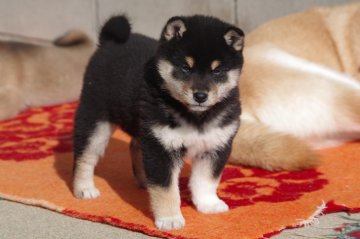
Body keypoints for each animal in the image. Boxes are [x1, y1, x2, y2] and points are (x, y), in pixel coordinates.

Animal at [72, 14, 245, 230]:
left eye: (217, 71)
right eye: (185, 68)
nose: (200, 96)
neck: (195, 117)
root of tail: (108, 42)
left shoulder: (215, 146)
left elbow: (206, 180)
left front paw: (208, 204)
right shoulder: (161, 148)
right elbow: (166, 189)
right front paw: (170, 219)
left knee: (134, 146)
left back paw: (144, 180)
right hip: (96, 119)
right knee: (85, 156)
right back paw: (84, 188)